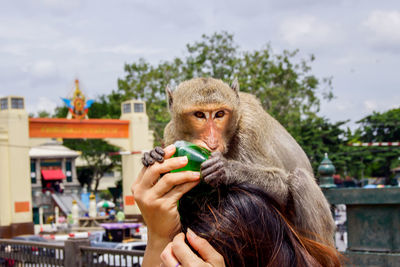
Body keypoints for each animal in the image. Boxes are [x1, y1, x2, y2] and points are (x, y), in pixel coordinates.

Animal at [142, 77, 336, 247]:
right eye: (199, 114)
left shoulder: (250, 128)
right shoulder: (171, 133)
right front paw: (152, 155)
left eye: (220, 114)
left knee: (299, 178)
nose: (212, 142)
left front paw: (226, 169)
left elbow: (281, 187)